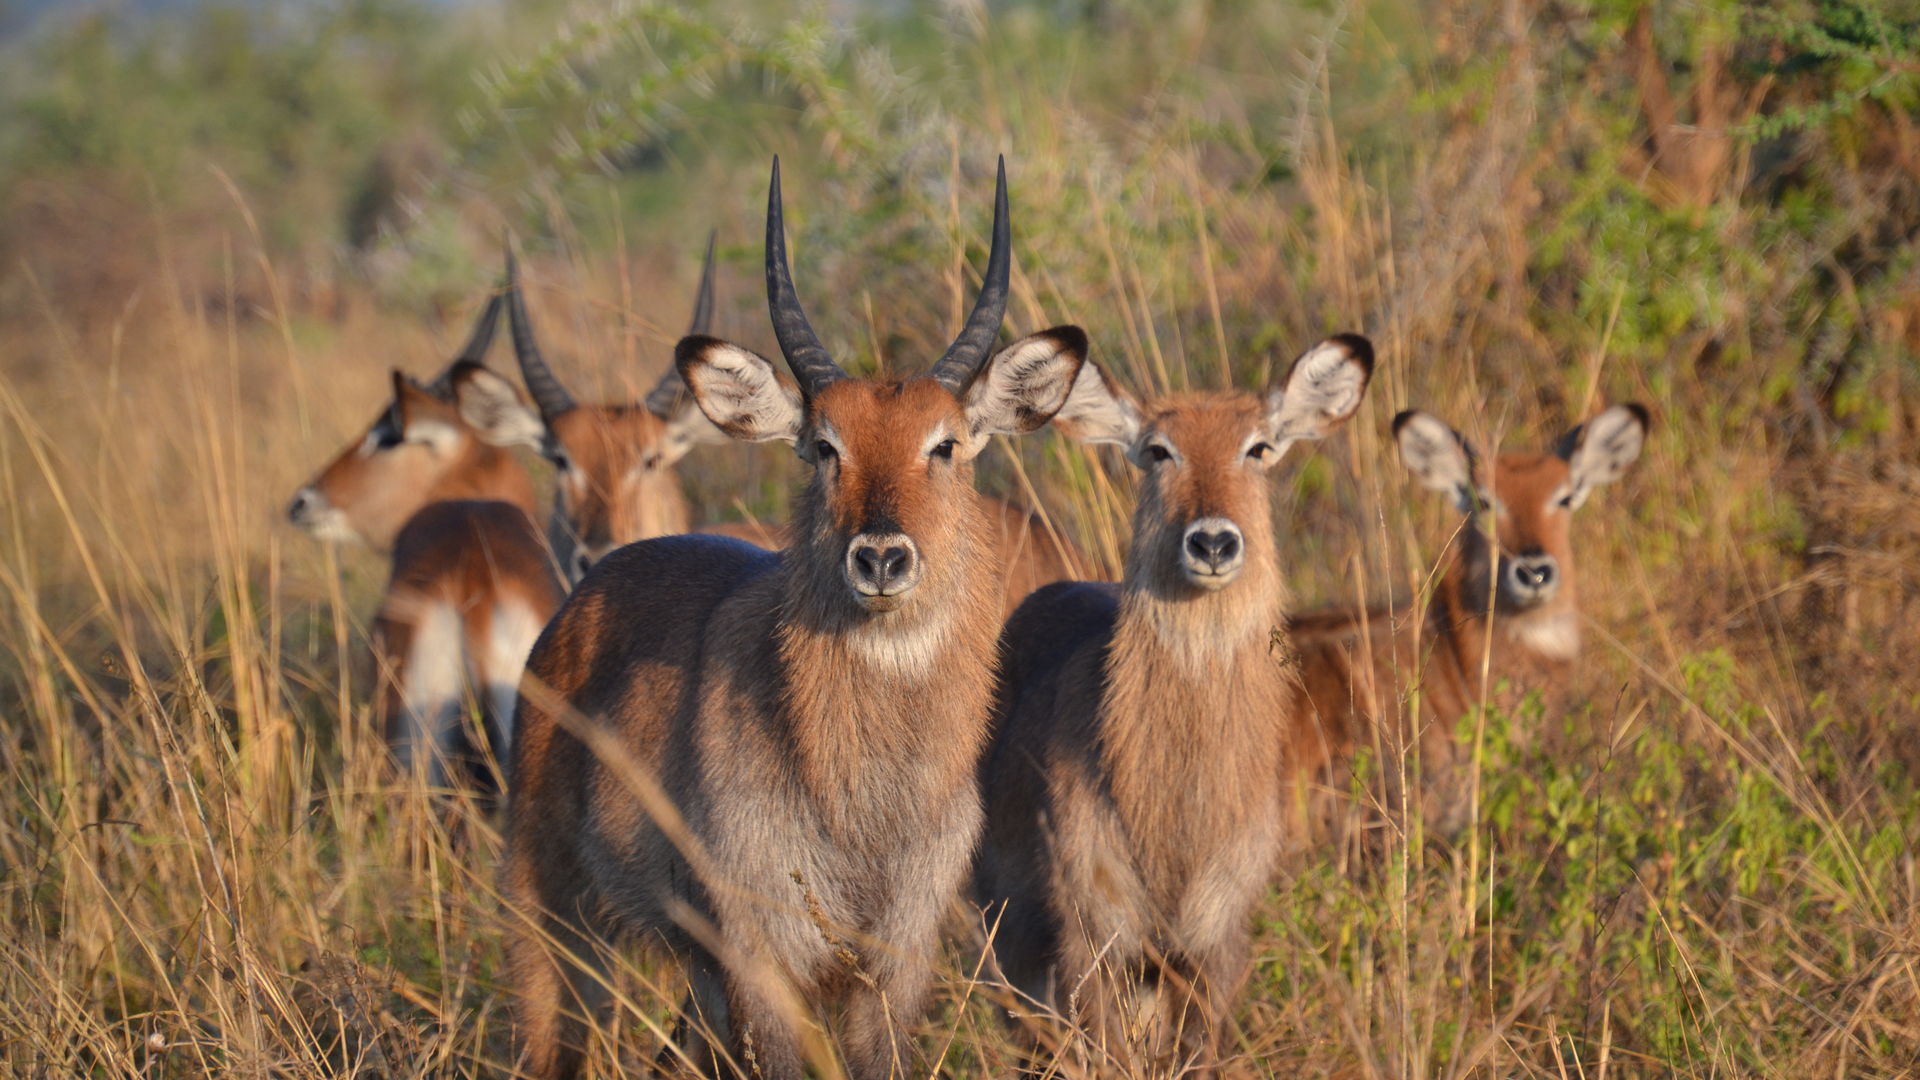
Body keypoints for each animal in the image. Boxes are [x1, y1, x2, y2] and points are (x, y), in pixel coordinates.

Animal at [975, 334, 1382, 1068]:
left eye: (1258, 447)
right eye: (1159, 450)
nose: (1214, 541)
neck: (1175, 822)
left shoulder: (1211, 951)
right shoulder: (1093, 942)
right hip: (1013, 941)